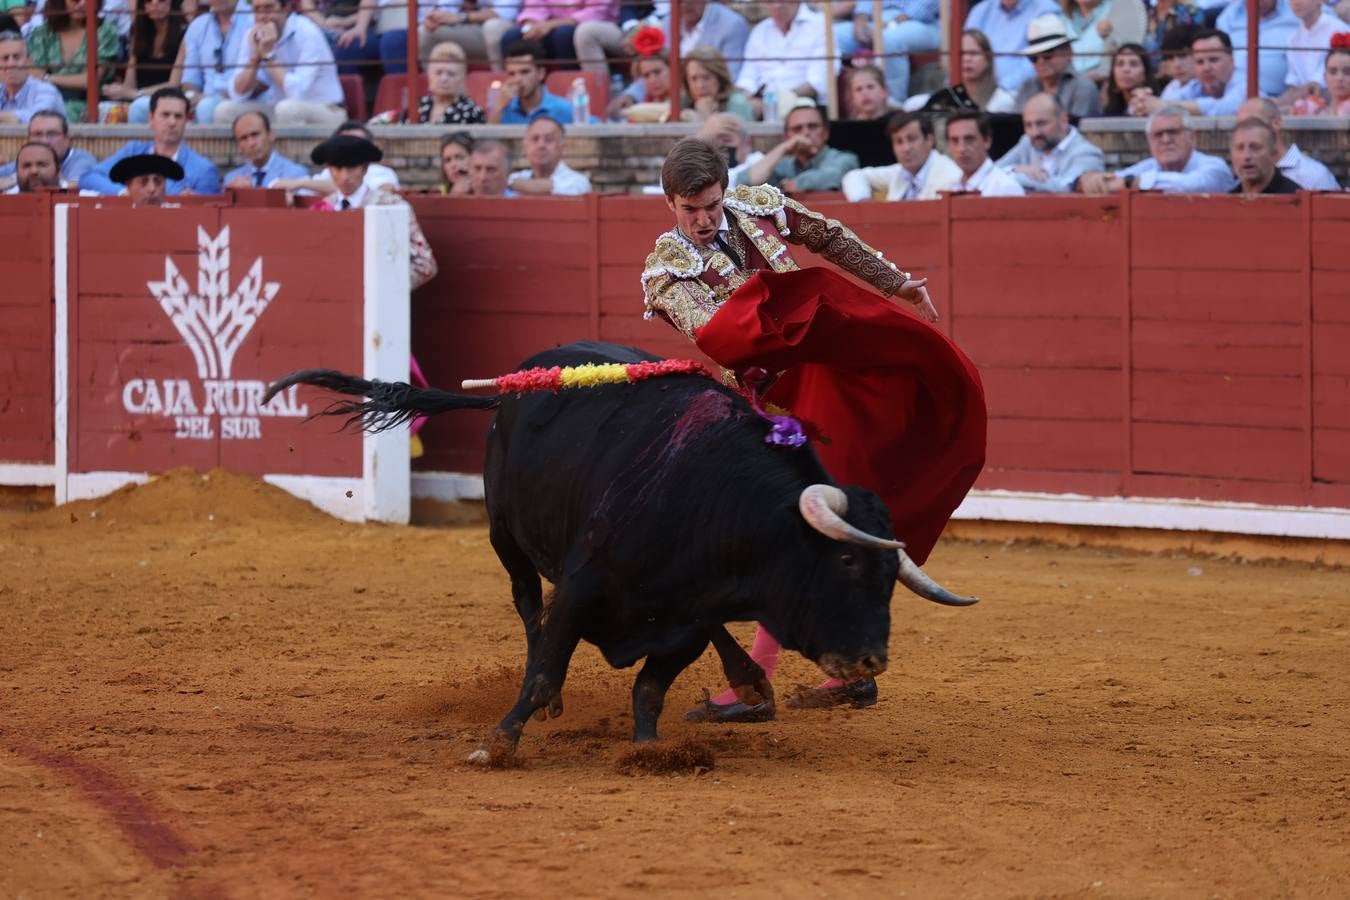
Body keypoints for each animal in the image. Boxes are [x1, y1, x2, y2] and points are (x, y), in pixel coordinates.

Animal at [265, 342, 982, 761]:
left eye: (891, 577)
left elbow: (650, 688)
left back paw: (750, 688)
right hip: (505, 535)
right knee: (527, 607)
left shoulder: (687, 620)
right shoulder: (582, 588)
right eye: (845, 560)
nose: (870, 659)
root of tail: (515, 385)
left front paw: (646, 749)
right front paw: (498, 742)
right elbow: (547, 662)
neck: (715, 498)